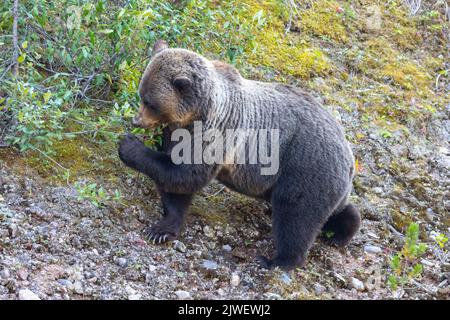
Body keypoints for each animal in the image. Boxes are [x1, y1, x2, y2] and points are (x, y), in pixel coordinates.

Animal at [118, 40, 360, 270]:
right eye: (141, 94)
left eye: (150, 103)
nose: (136, 121)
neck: (194, 115)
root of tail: (349, 155)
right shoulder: (177, 132)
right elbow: (175, 185)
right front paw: (162, 229)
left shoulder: (216, 133)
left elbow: (185, 174)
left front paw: (128, 145)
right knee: (331, 208)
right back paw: (341, 232)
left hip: (305, 166)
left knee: (296, 216)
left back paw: (277, 260)